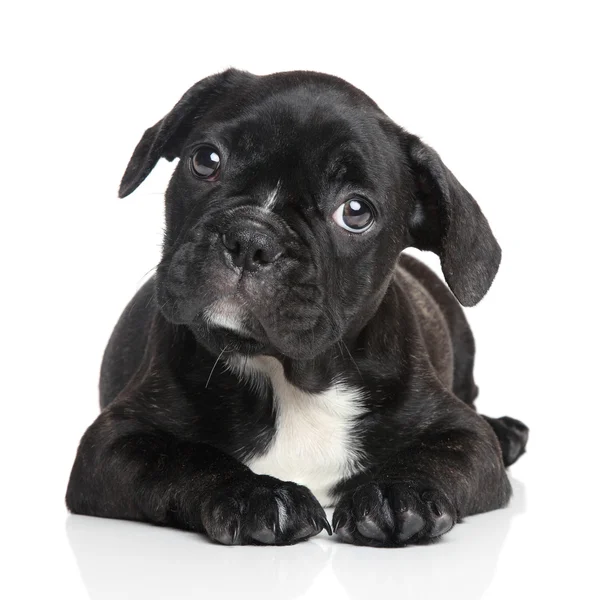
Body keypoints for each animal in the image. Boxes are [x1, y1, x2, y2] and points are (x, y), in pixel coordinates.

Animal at [66, 68, 528, 548]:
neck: (290, 377)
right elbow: (183, 457)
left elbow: (438, 455)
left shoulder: (464, 437)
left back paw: (505, 432)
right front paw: (255, 494)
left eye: (356, 212)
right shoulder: (113, 441)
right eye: (206, 161)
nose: (251, 238)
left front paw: (395, 492)